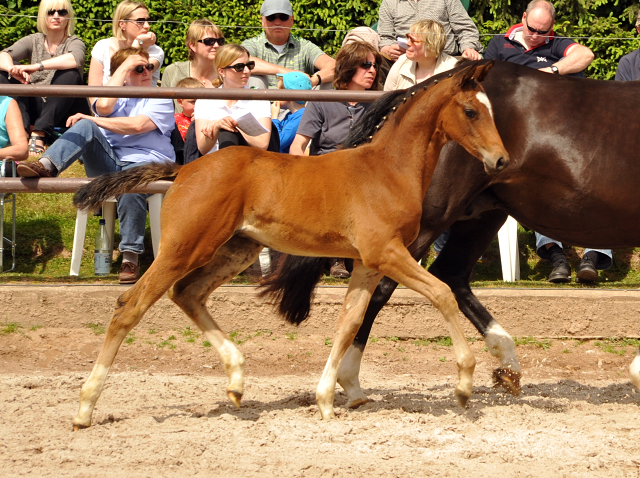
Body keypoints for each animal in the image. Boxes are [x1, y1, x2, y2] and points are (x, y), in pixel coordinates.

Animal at [72, 60, 508, 430]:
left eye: (491, 110)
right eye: (471, 111)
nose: (502, 161)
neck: (387, 169)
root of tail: (183, 170)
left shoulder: (368, 262)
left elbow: (349, 322)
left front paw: (327, 400)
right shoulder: (386, 252)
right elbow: (443, 293)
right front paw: (464, 385)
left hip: (235, 249)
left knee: (188, 293)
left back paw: (236, 381)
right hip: (185, 247)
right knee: (130, 306)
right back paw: (85, 407)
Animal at [262, 57, 640, 408]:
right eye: (472, 112)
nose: (500, 157)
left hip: (482, 215)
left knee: (449, 275)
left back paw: (506, 365)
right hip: (427, 223)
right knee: (385, 290)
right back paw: (350, 382)